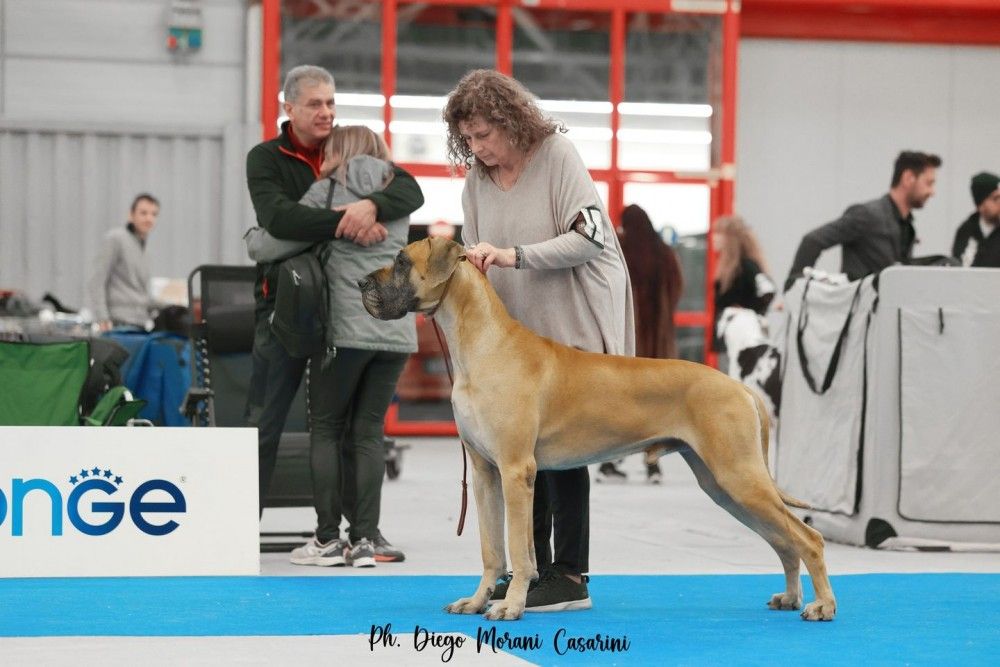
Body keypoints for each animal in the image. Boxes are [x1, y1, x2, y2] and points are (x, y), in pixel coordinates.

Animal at [359, 237, 836, 622]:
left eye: (401, 260)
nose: (362, 283)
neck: (482, 344)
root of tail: (739, 387)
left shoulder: (515, 471)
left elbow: (519, 550)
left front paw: (511, 606)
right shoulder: (484, 474)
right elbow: (491, 549)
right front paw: (477, 602)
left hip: (740, 477)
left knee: (808, 538)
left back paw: (821, 605)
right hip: (722, 486)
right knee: (784, 541)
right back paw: (790, 597)